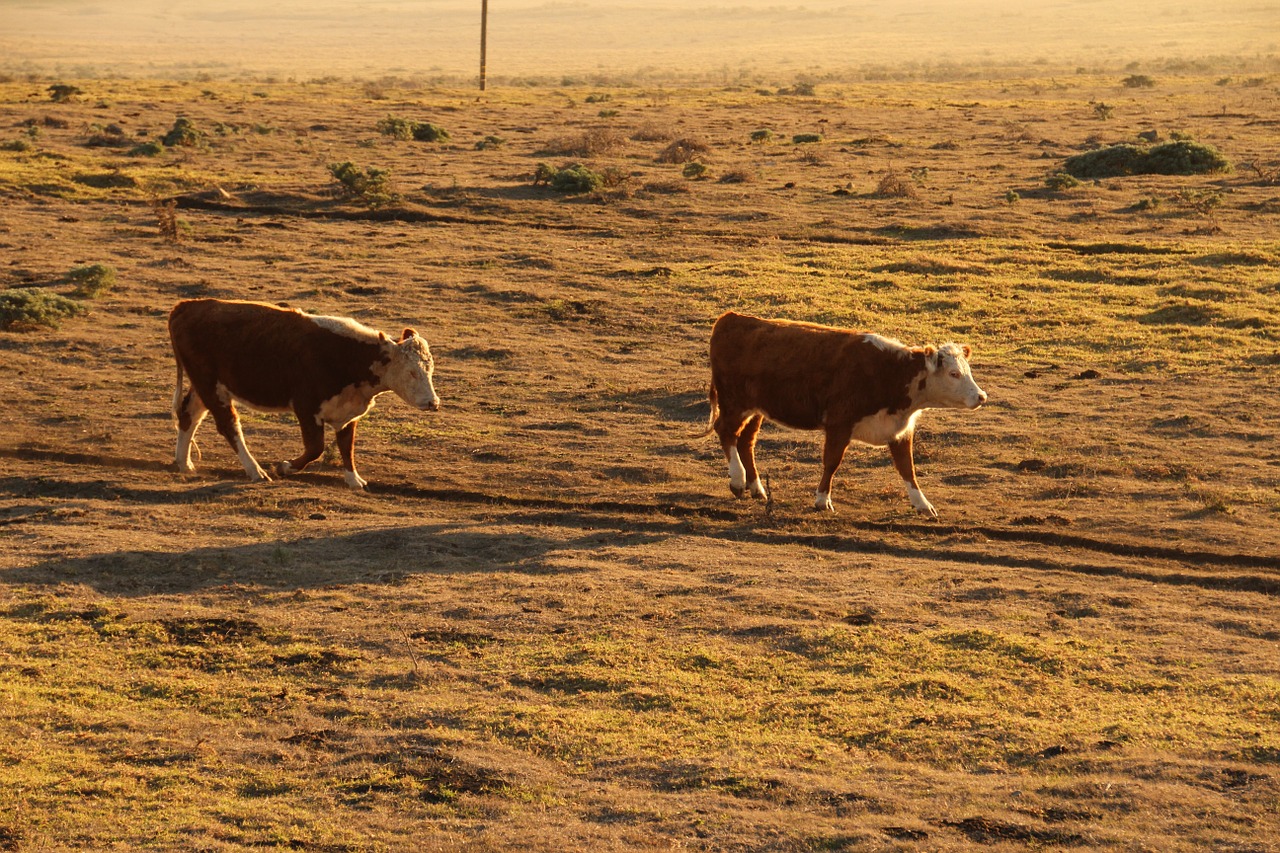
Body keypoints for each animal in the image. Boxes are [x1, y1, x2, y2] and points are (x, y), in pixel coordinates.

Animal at [170, 297, 440, 489]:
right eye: (412, 372)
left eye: (430, 369)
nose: (433, 402)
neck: (349, 357)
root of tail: (188, 306)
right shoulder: (306, 407)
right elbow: (315, 448)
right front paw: (285, 467)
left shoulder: (348, 412)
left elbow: (346, 446)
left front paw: (354, 480)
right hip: (211, 386)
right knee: (229, 425)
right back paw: (256, 471)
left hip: (206, 385)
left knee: (189, 414)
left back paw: (184, 463)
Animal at [696, 311, 983, 514]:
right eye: (954, 374)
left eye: (967, 371)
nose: (981, 396)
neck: (890, 372)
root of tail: (731, 318)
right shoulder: (839, 424)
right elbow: (832, 462)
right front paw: (822, 500)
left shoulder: (899, 430)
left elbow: (907, 469)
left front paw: (923, 504)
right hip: (735, 402)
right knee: (726, 431)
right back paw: (737, 480)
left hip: (756, 409)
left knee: (746, 441)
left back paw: (756, 488)